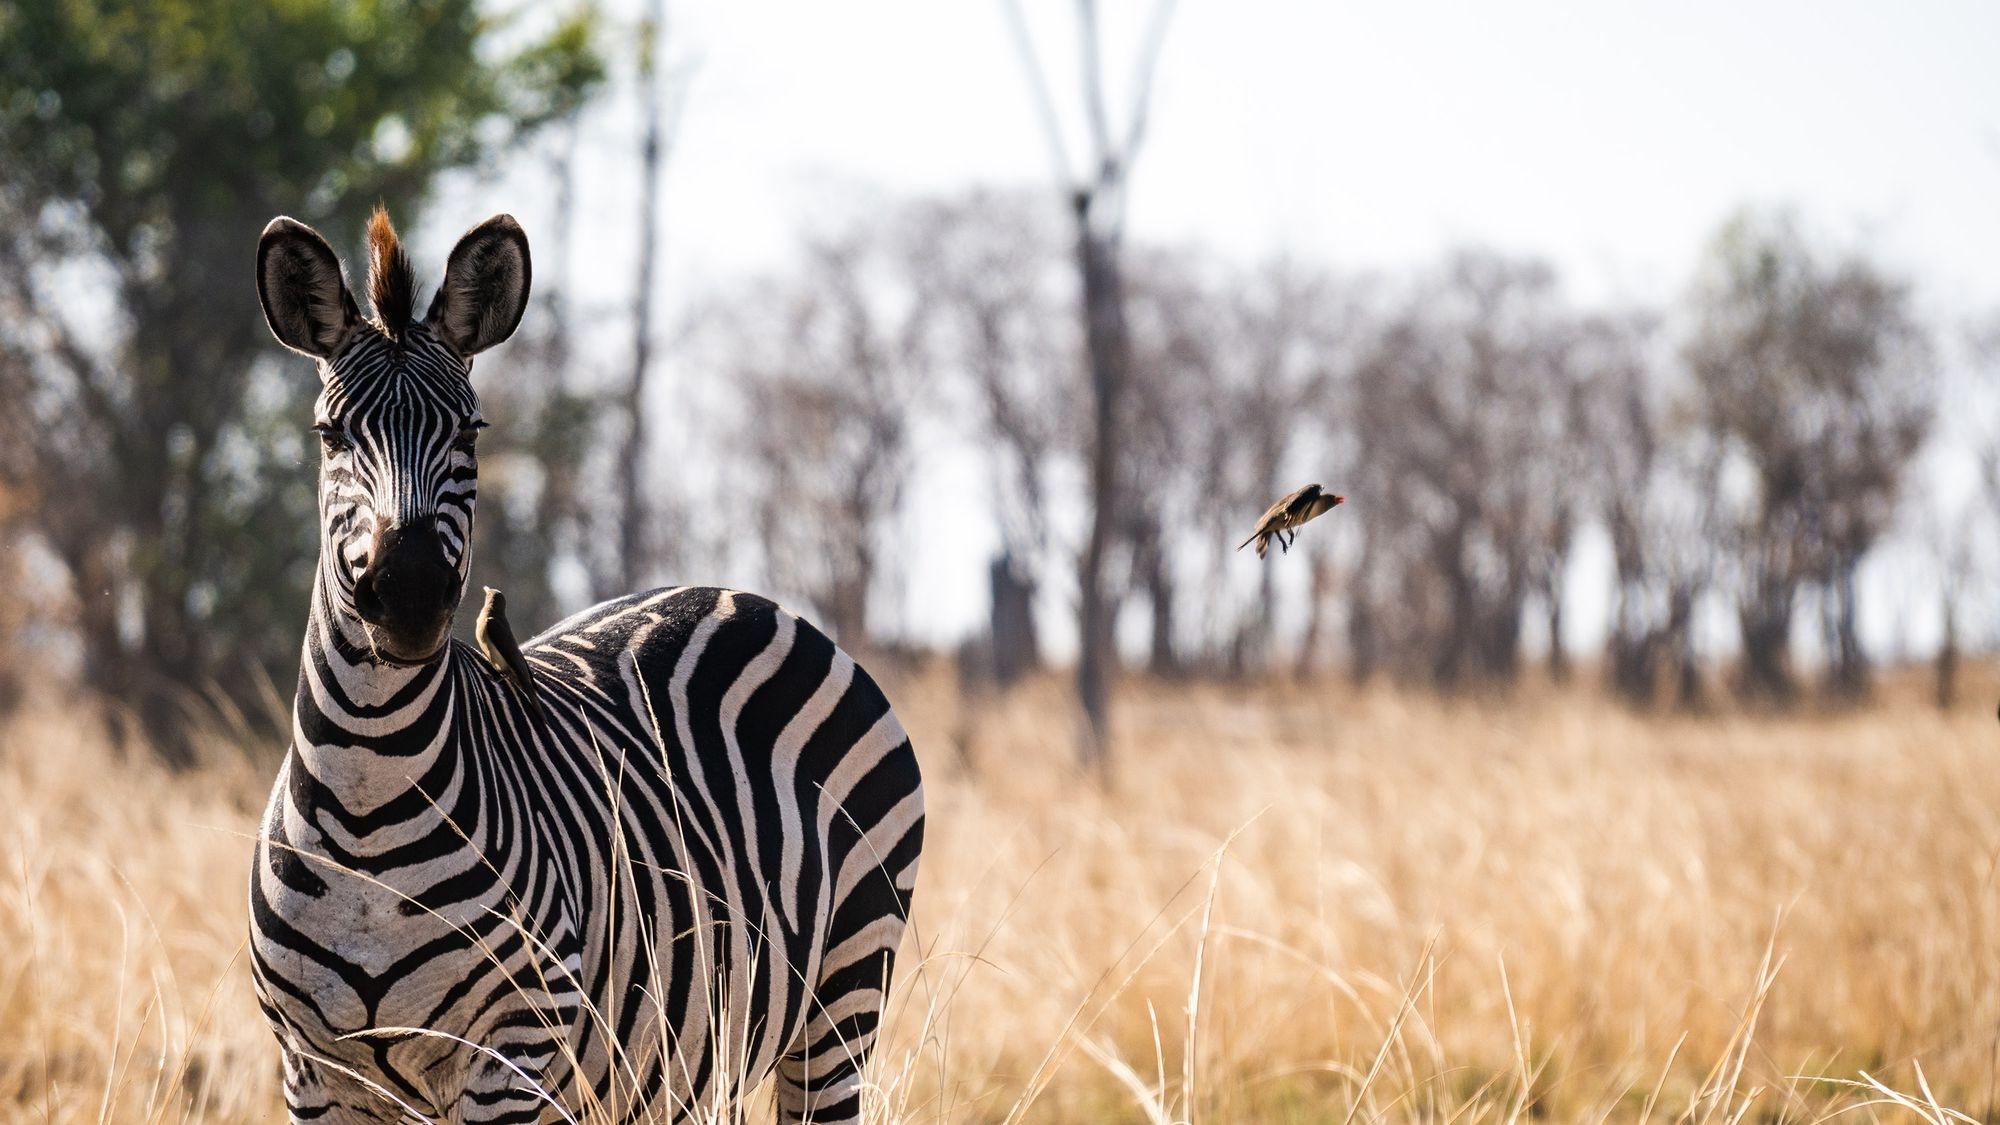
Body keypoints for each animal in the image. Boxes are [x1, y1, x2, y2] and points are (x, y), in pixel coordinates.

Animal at [249, 208, 924, 1123]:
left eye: (470, 430)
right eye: (329, 433)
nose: (409, 594)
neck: (368, 794)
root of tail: (738, 595)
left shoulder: (511, 1051)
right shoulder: (313, 1072)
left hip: (844, 997)